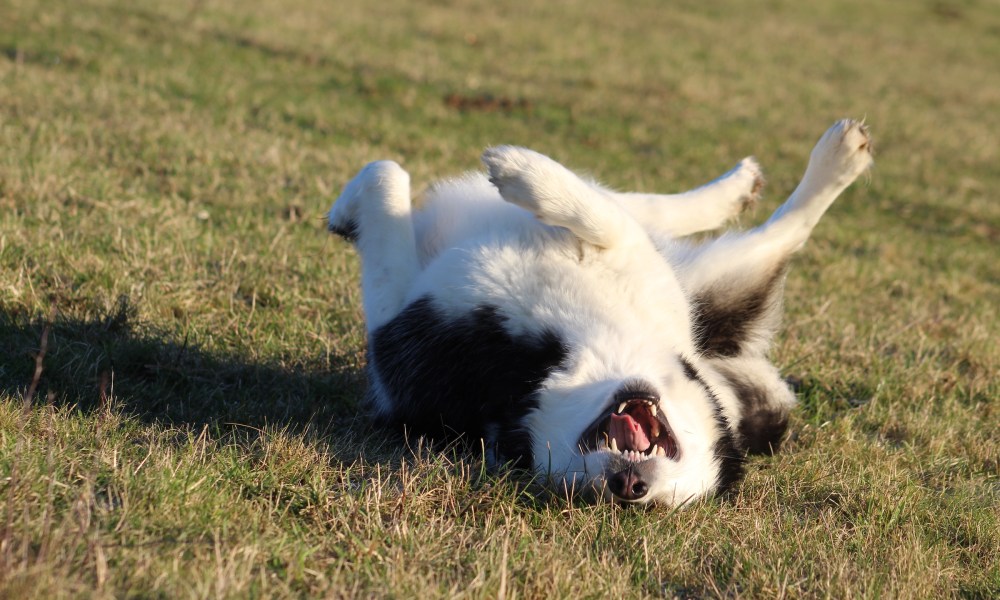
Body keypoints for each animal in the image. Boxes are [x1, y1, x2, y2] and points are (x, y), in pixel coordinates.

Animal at [326, 122, 868, 506]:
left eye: (667, 502)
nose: (629, 489)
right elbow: (609, 213)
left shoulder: (396, 332)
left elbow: (386, 179)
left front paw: (524, 174)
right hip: (705, 280)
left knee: (779, 230)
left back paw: (828, 164)